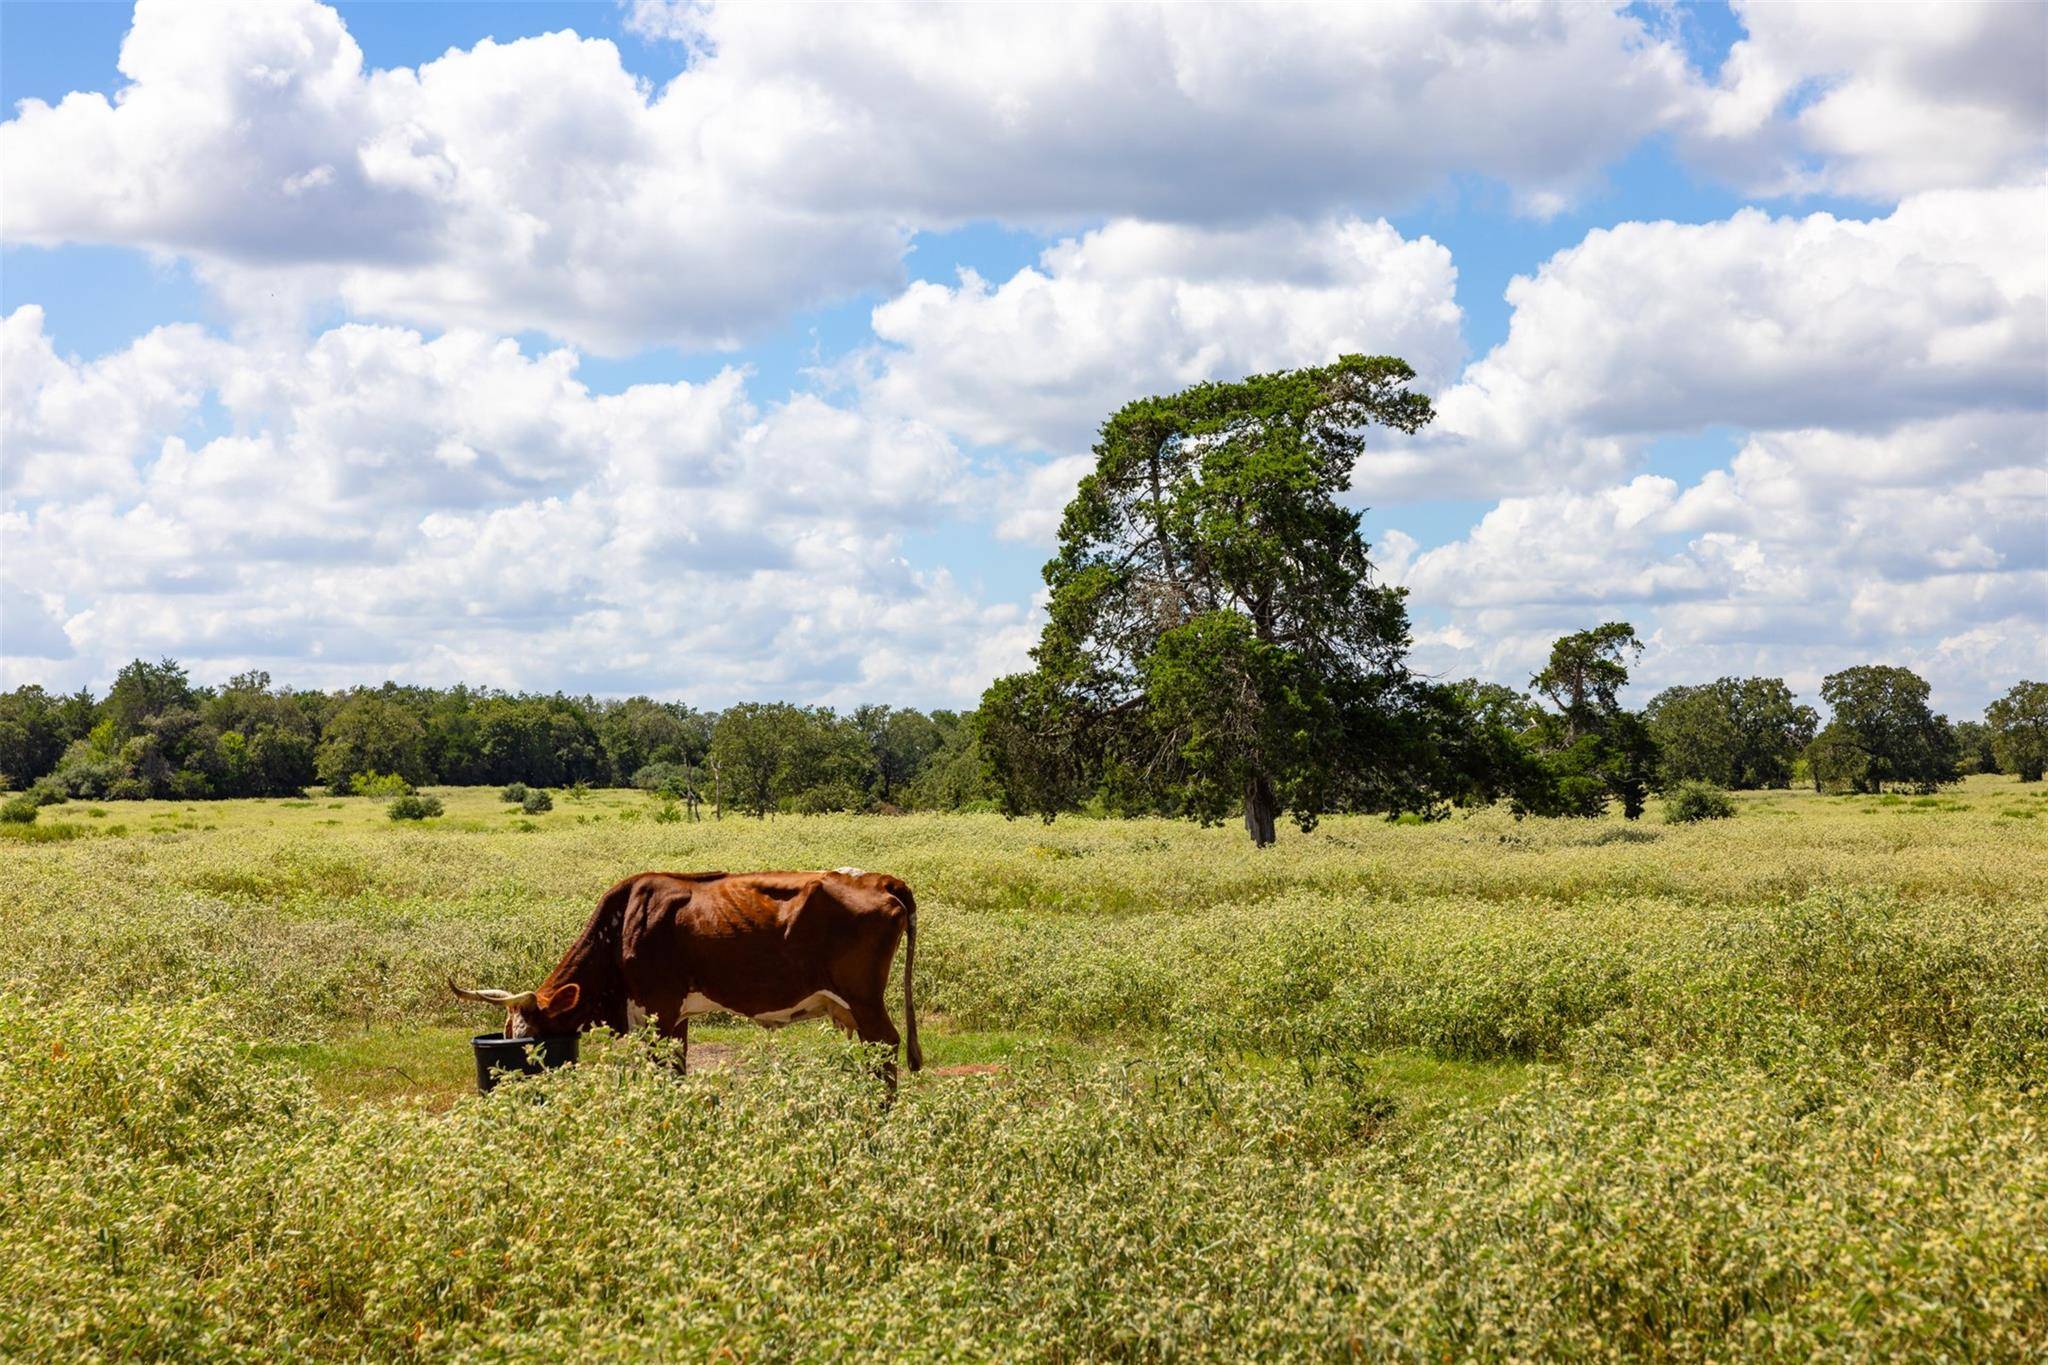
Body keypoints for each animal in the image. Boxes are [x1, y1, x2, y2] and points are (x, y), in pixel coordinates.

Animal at [460, 871, 925, 1080]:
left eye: (532, 1038)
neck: (622, 925)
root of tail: (881, 881)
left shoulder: (659, 1010)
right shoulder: (673, 1016)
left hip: (863, 999)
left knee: (886, 1046)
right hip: (848, 1006)